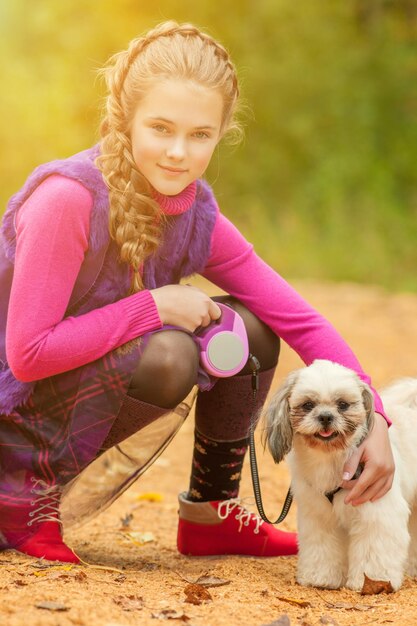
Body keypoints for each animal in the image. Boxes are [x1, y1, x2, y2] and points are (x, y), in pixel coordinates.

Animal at [264, 358, 416, 588]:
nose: (326, 416)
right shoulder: (319, 516)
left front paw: (372, 582)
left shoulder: (378, 513)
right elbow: (322, 548)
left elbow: (373, 550)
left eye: (343, 405)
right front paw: (320, 577)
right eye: (308, 405)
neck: (331, 460)